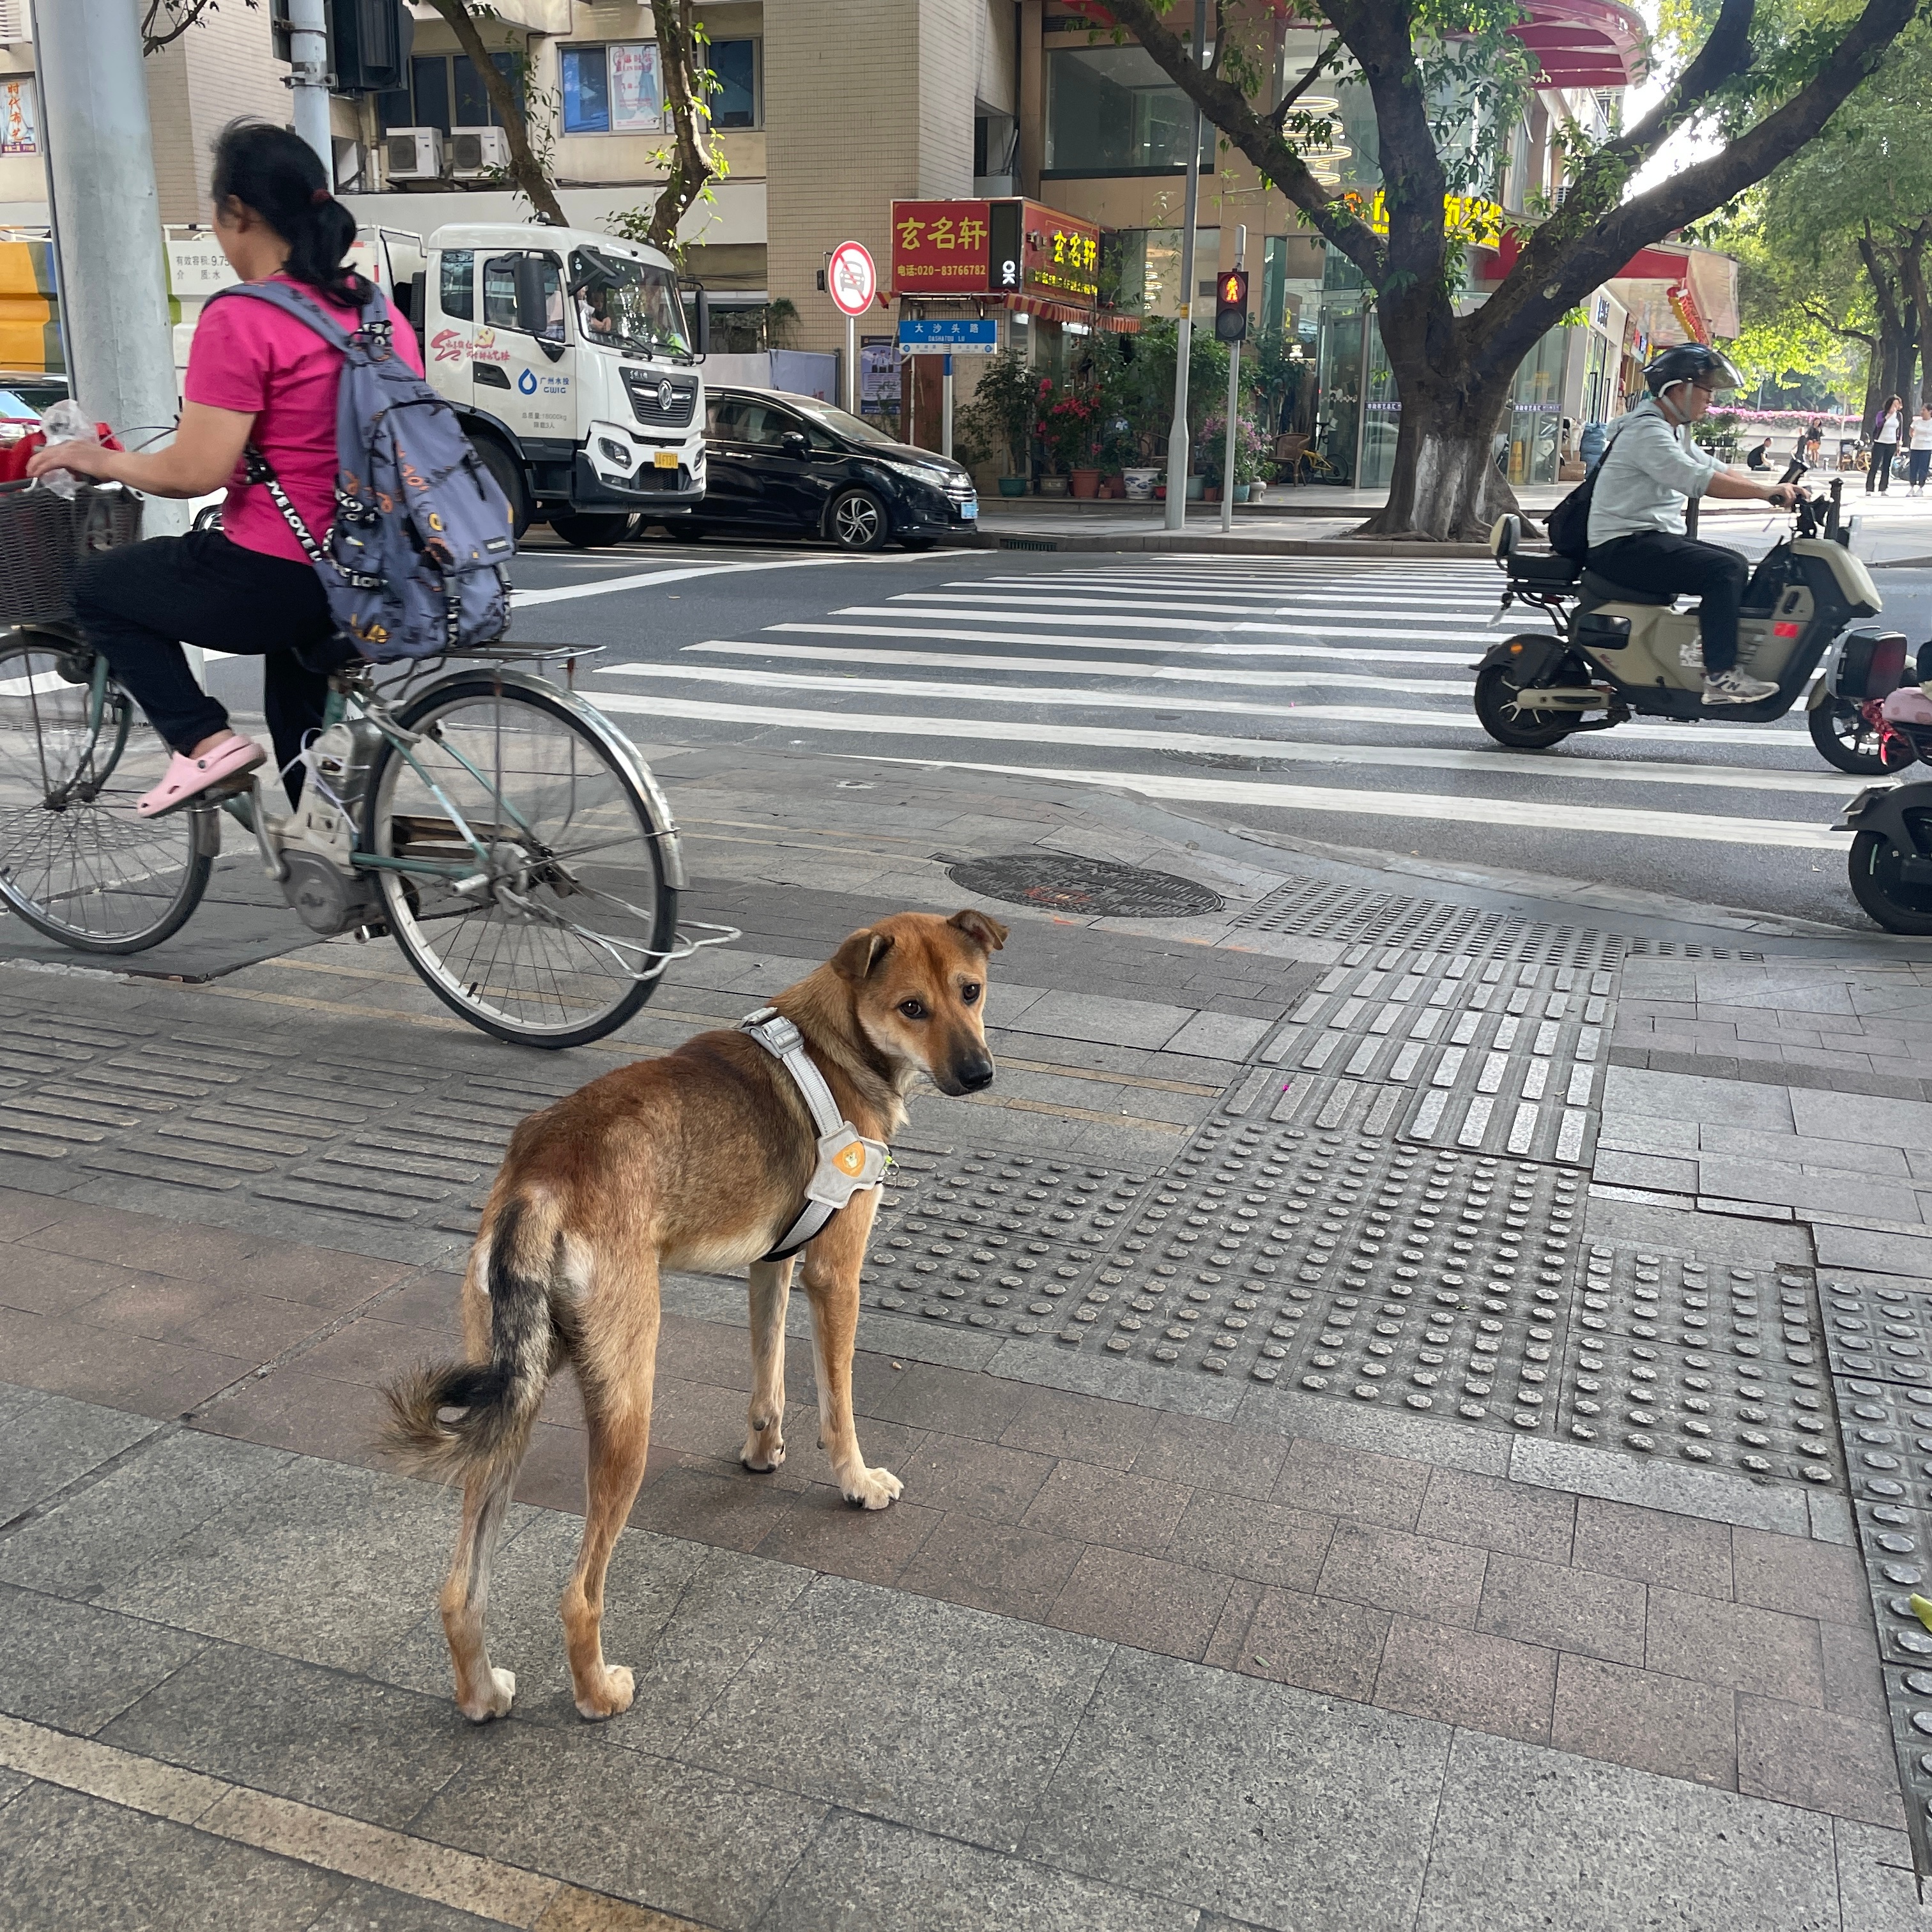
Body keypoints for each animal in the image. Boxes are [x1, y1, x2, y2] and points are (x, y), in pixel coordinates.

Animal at [380, 904, 1012, 1723]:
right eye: (912, 1007)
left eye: (971, 991)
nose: (980, 1074)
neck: (834, 1044)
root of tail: (539, 1179)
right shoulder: (835, 1276)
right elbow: (837, 1402)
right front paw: (856, 1481)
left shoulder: (772, 1265)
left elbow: (768, 1375)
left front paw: (762, 1452)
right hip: (626, 1409)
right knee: (578, 1594)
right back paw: (598, 1694)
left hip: (508, 1404)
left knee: (461, 1590)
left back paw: (483, 1695)